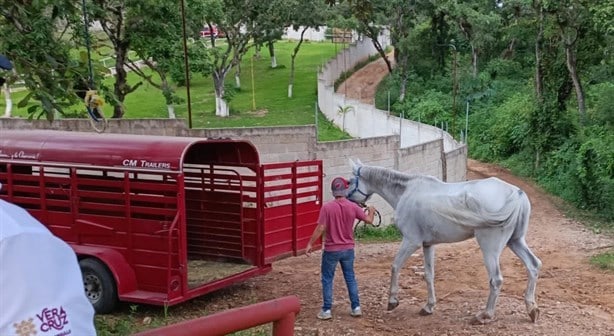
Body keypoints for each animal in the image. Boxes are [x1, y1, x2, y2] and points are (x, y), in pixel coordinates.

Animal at [346, 159, 544, 324]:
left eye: (350, 181)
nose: (348, 199)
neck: (406, 192)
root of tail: (516, 194)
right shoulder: (427, 245)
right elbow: (429, 275)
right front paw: (428, 307)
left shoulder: (411, 241)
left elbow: (395, 266)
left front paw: (392, 301)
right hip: (516, 241)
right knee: (533, 265)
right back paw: (531, 309)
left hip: (490, 248)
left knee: (496, 280)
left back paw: (484, 315)